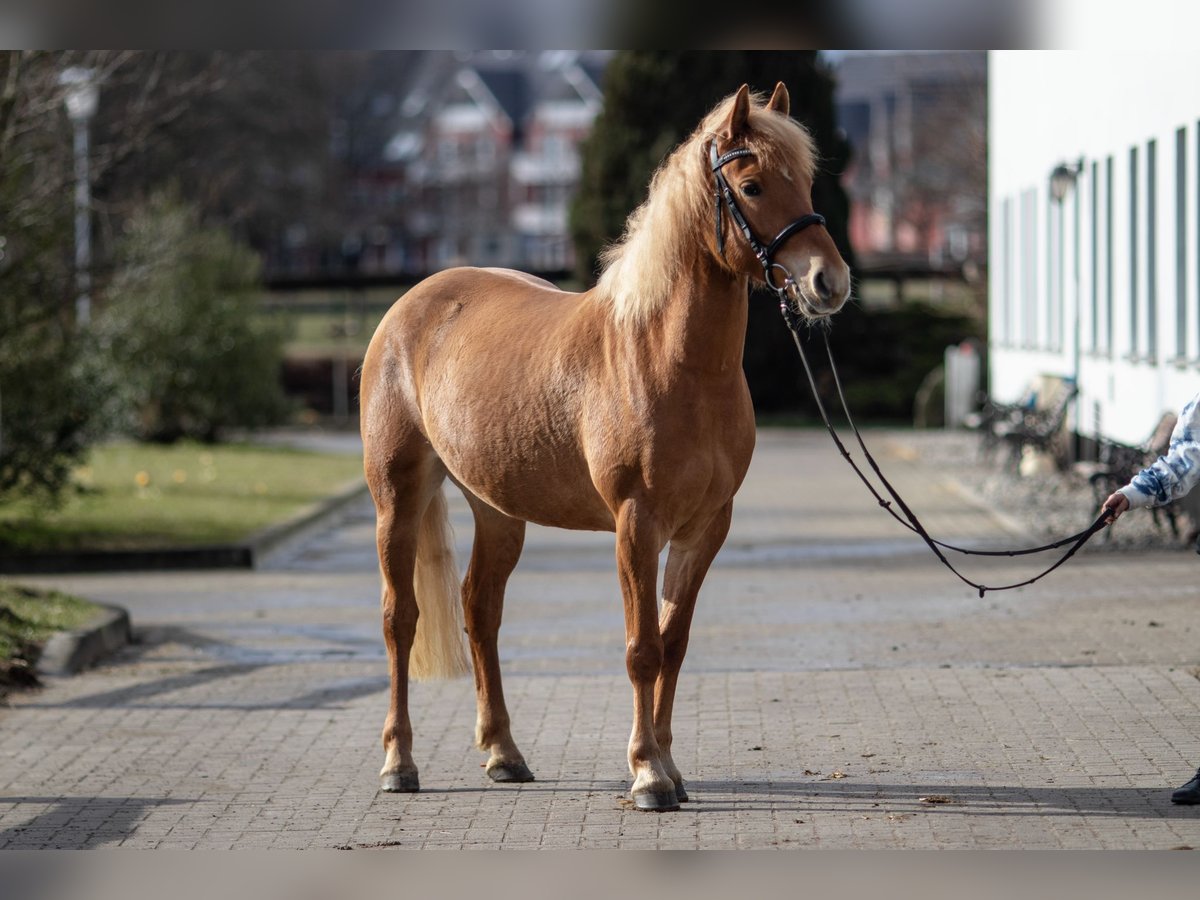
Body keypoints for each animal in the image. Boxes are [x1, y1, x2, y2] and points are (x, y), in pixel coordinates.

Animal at [357, 84, 854, 816]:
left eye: (807, 181)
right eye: (753, 184)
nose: (828, 282)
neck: (670, 361)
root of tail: (409, 307)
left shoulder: (704, 529)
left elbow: (673, 643)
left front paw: (670, 766)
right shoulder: (635, 524)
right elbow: (641, 648)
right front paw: (647, 773)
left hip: (497, 509)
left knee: (480, 609)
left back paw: (503, 753)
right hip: (398, 494)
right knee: (401, 619)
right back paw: (398, 762)